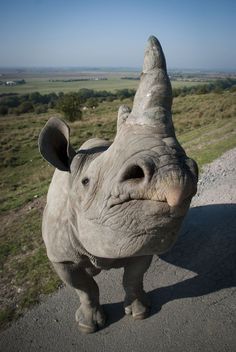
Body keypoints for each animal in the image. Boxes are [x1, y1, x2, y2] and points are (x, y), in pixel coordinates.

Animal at [38, 35, 197, 332]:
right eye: (86, 181)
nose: (174, 173)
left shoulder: (143, 239)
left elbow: (133, 277)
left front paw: (140, 312)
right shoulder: (60, 256)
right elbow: (85, 288)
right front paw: (89, 326)